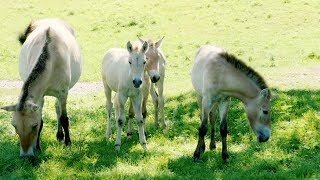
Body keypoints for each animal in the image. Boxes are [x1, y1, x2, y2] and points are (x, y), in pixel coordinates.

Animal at [0, 19, 82, 158]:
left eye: (34, 126)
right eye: (14, 126)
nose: (26, 155)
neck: (51, 61)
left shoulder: (63, 93)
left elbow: (64, 118)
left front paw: (68, 144)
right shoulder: (40, 97)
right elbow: (42, 119)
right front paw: (38, 148)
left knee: (58, 109)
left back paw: (60, 135)